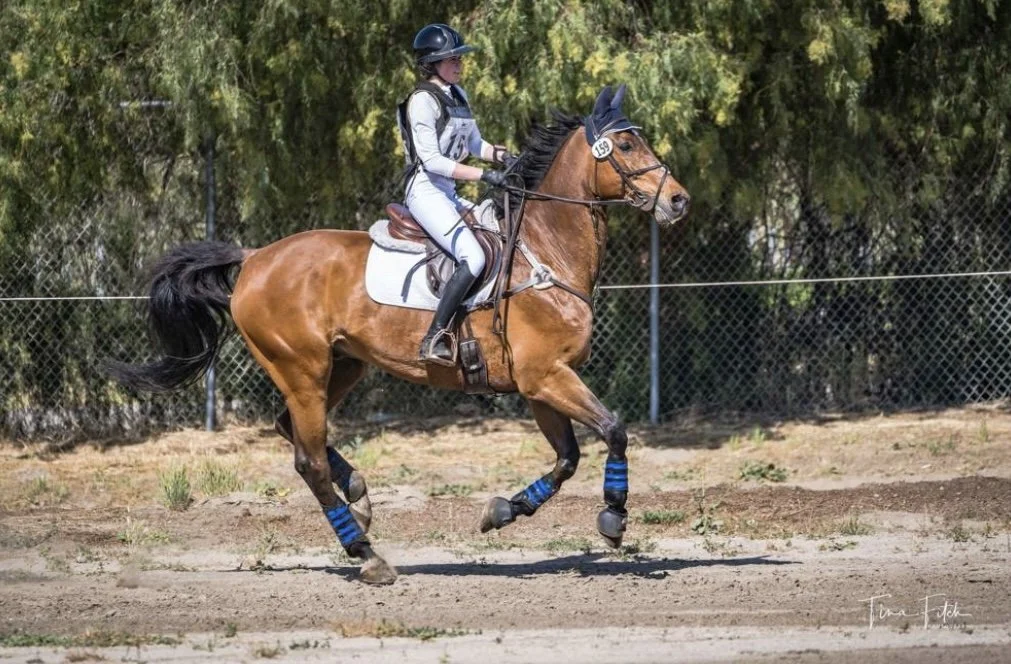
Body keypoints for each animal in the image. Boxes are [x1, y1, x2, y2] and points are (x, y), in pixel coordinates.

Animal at [109, 84, 690, 585]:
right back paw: (365, 553)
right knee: (307, 460)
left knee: (288, 429)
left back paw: (359, 497)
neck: (544, 250)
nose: (678, 201)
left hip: (342, 365)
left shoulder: (539, 382)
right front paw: (613, 518)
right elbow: (614, 430)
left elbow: (567, 458)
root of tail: (253, 259)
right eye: (625, 144)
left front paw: (502, 511)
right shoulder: (545, 375)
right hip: (302, 370)